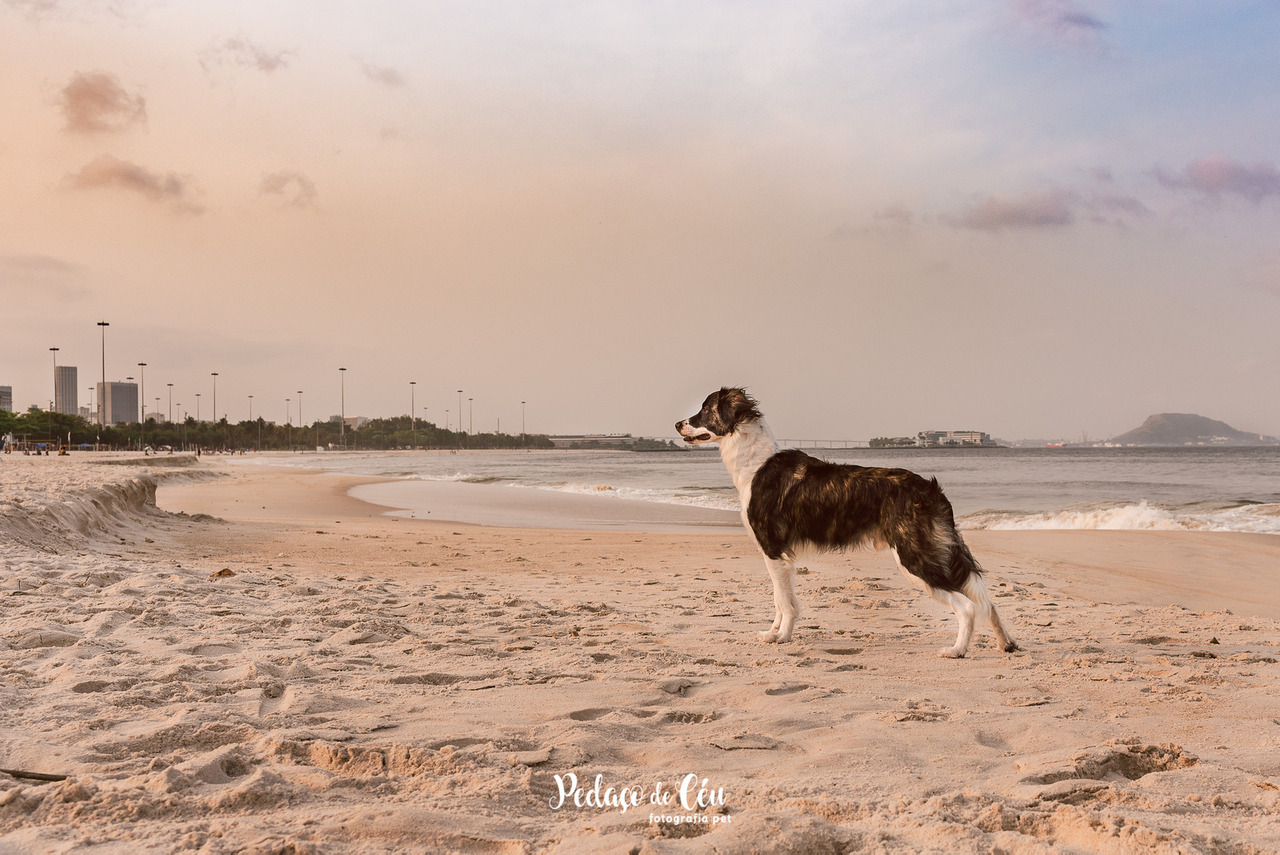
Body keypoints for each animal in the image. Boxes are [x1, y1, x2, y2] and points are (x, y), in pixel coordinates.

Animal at [680, 386, 1018, 660]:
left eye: (705, 410)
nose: (676, 424)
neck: (755, 462)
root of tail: (931, 489)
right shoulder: (778, 555)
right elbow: (780, 600)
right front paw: (774, 632)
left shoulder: (774, 550)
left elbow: (786, 603)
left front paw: (782, 637)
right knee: (987, 601)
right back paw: (1005, 643)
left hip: (914, 557)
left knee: (968, 606)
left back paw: (957, 650)